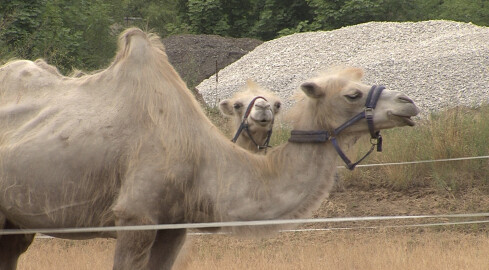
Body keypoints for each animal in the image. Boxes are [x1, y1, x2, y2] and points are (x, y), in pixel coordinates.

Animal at [0, 28, 418, 270]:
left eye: (277, 103)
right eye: (352, 94)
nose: (408, 103)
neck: (205, 162)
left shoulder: (173, 228)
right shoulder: (135, 219)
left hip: (15, 221)